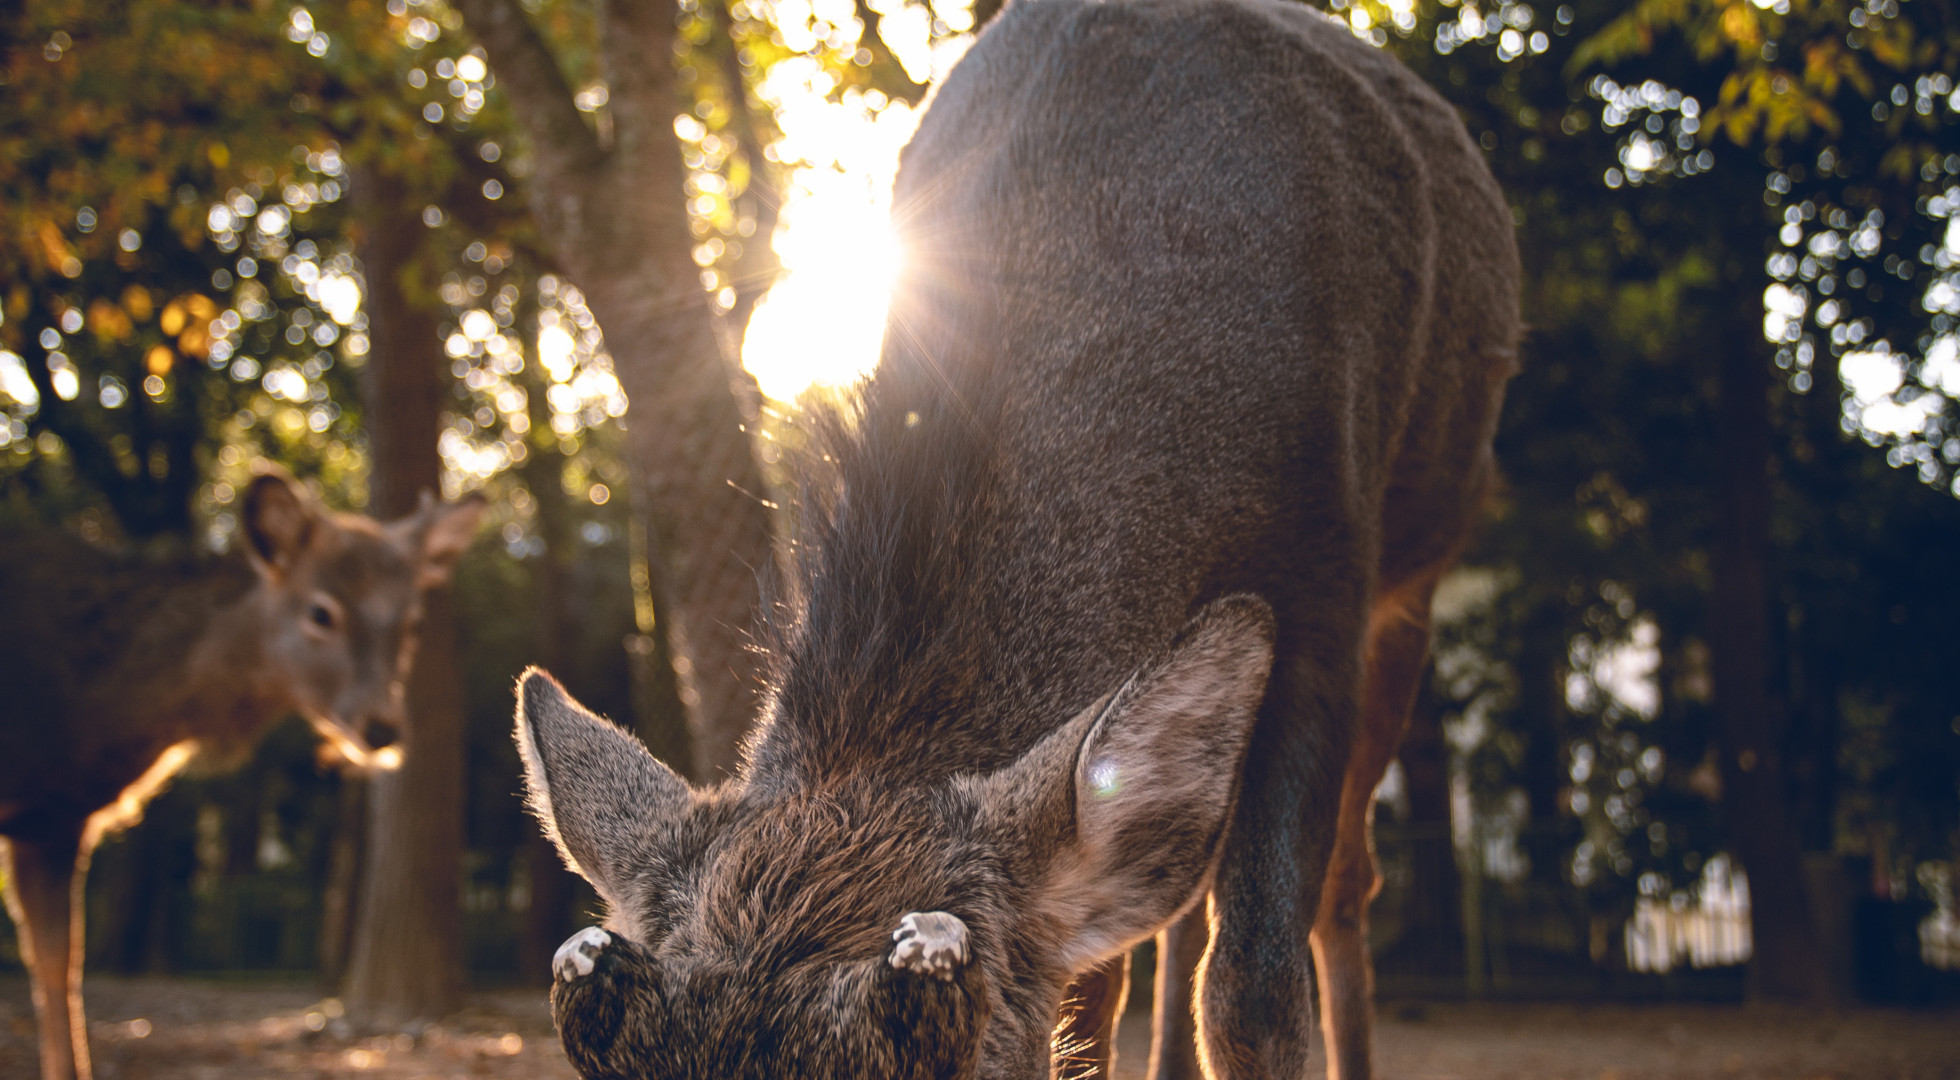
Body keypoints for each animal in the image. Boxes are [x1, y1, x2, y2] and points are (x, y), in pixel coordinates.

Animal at [0, 468, 484, 1080]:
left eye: (414, 622)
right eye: (320, 612)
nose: (382, 728)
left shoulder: (53, 817)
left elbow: (59, 962)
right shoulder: (45, 818)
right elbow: (56, 961)